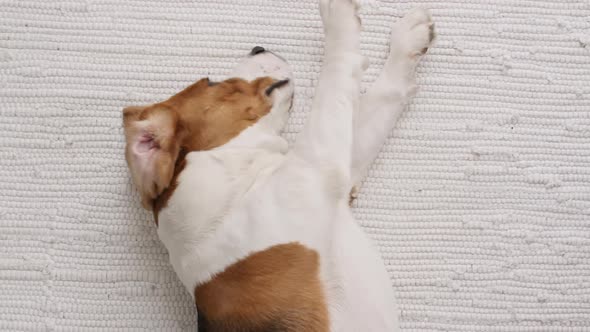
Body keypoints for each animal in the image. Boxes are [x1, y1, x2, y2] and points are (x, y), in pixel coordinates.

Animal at [122, 1, 434, 330]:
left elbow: (383, 95)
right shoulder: (319, 164)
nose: (257, 47)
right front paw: (338, 15)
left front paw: (408, 39)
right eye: (211, 82)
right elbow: (337, 71)